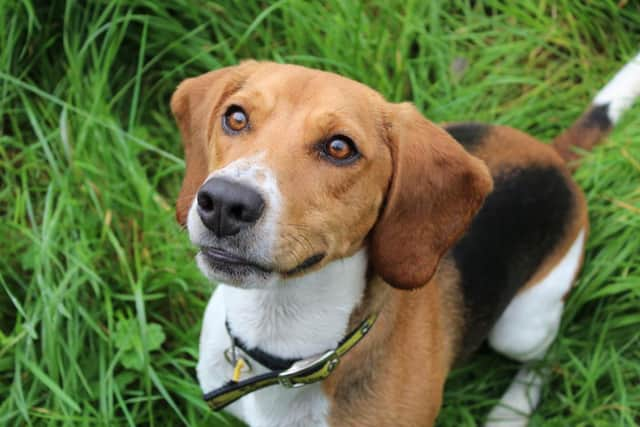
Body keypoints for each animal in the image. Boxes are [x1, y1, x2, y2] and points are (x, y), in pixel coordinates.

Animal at [170, 54, 640, 427]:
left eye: (339, 147)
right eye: (236, 118)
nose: (224, 202)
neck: (281, 343)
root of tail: (553, 156)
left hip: (522, 327)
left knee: (547, 356)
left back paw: (511, 412)